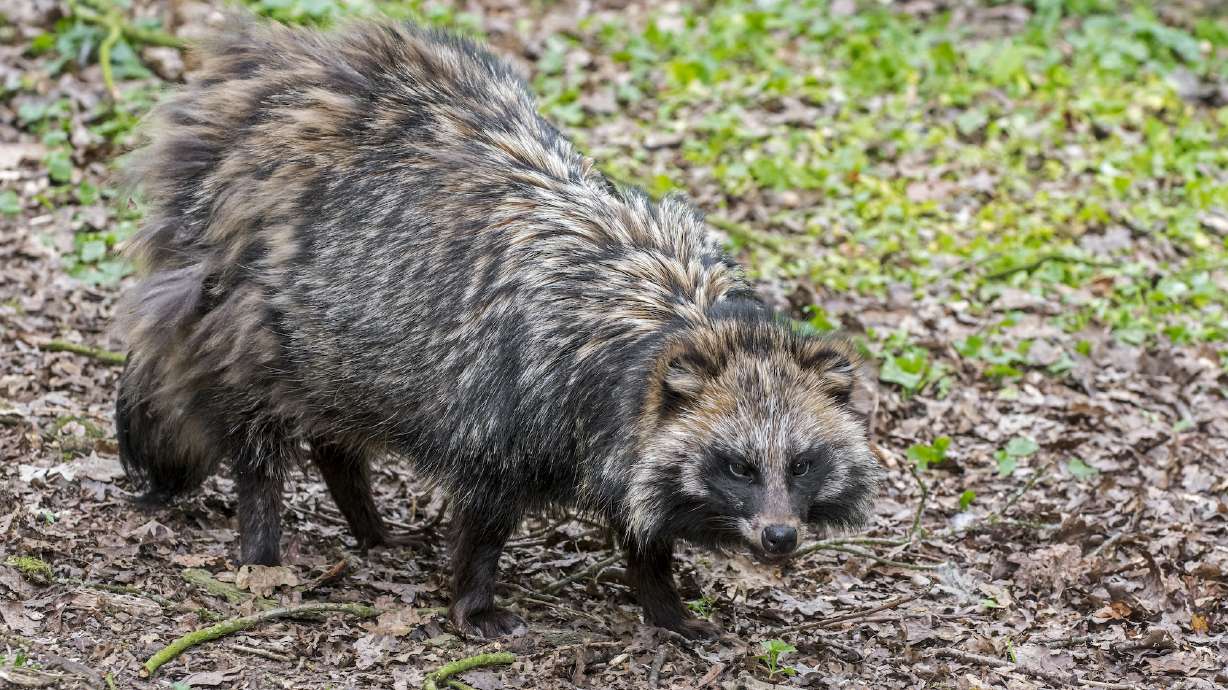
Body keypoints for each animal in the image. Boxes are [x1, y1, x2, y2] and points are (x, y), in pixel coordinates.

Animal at [115, 14, 881, 639]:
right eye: (740, 464)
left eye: (803, 462)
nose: (780, 537)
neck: (673, 314)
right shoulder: (508, 403)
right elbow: (486, 517)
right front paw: (475, 599)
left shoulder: (616, 426)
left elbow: (638, 515)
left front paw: (660, 597)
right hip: (251, 314)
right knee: (256, 430)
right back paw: (263, 535)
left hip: (344, 334)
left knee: (337, 423)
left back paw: (364, 517)